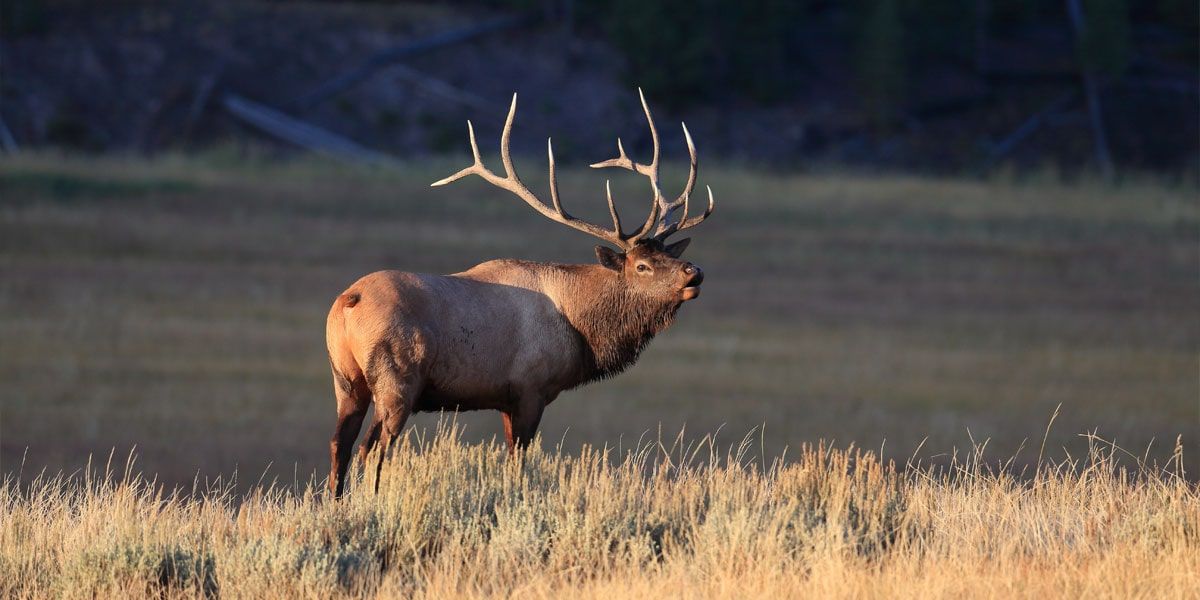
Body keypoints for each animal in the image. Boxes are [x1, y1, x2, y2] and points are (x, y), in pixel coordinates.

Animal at [326, 90, 710, 496]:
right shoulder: (530, 389)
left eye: (670, 254)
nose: (694, 272)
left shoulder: (505, 399)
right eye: (642, 266)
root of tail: (349, 301)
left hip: (346, 380)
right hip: (396, 381)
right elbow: (517, 461)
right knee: (373, 448)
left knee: (340, 444)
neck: (582, 329)